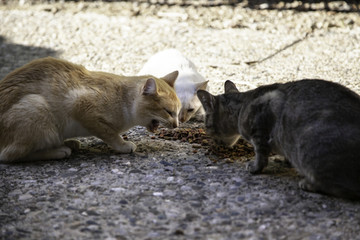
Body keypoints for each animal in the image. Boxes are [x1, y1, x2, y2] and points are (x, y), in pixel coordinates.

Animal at [0, 57, 180, 162]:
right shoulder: (81, 105)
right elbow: (111, 134)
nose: (177, 125)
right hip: (36, 106)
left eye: (178, 113)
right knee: (9, 155)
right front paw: (123, 145)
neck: (124, 100)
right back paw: (59, 150)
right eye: (168, 111)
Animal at [198, 79, 360, 200]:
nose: (214, 141)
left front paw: (254, 168)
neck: (242, 105)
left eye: (206, 125)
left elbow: (261, 157)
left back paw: (308, 184)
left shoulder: (260, 134)